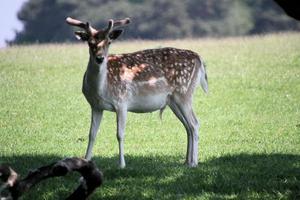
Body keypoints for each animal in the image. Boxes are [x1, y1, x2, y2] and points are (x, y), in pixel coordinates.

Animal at [65, 17, 207, 168]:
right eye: (90, 42)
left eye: (109, 42)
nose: (100, 58)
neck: (101, 89)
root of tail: (199, 58)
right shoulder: (95, 106)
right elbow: (92, 134)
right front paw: (86, 160)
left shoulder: (122, 101)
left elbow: (120, 134)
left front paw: (121, 164)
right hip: (173, 101)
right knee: (187, 126)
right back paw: (186, 161)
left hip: (184, 93)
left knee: (194, 124)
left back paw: (194, 163)